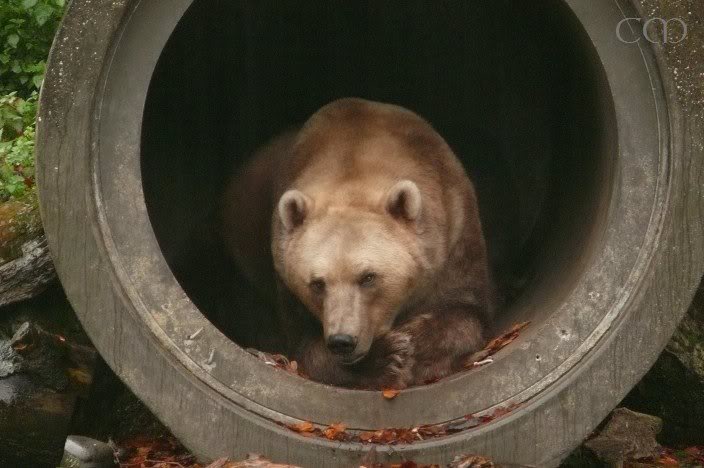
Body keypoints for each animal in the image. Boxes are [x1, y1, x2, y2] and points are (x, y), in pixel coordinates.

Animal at [220, 98, 493, 389]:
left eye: (368, 277)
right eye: (317, 283)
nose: (343, 341)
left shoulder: (455, 234)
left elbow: (464, 311)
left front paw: (413, 347)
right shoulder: (284, 276)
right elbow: (305, 346)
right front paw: (384, 357)